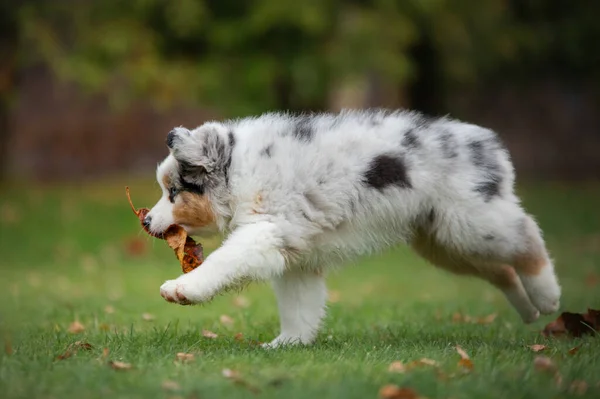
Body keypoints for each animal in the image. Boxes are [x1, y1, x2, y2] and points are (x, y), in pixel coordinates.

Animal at [145, 109, 564, 346]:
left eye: (173, 192)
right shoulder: (295, 252)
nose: (146, 220)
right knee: (502, 268)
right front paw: (288, 344)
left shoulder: (265, 231)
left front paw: (181, 288)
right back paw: (528, 311)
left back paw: (547, 296)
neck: (236, 172)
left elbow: (223, 261)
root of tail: (488, 143)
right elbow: (300, 304)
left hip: (470, 221)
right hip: (444, 242)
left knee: (526, 233)